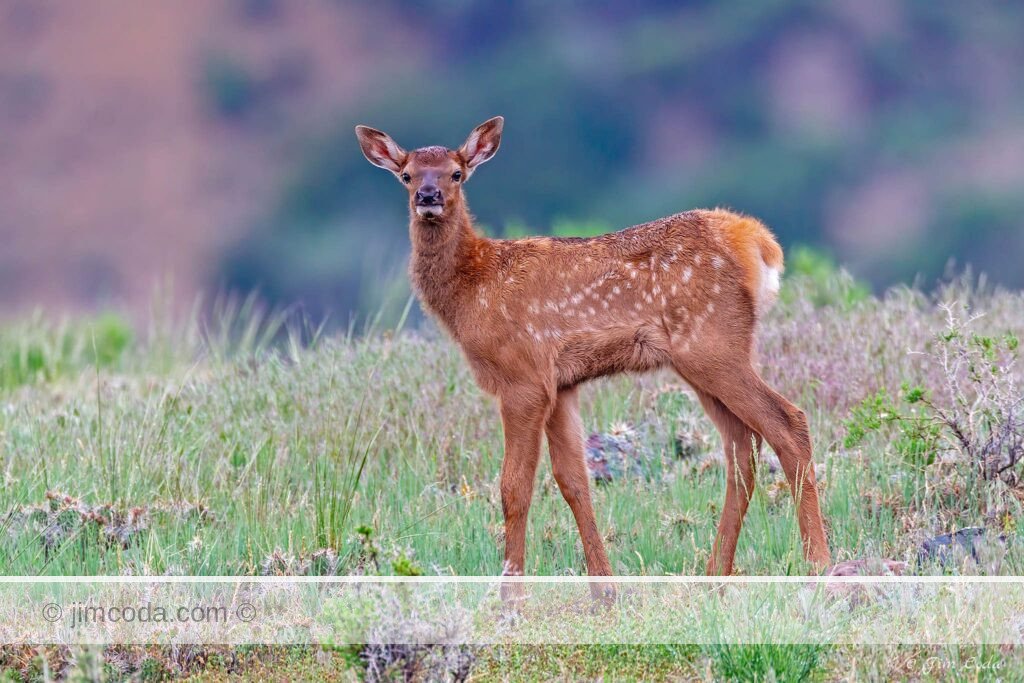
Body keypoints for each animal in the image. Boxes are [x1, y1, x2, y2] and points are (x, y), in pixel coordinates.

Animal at [355, 116, 831, 593]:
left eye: (456, 173)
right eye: (407, 175)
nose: (427, 197)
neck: (472, 288)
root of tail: (758, 242)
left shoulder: (523, 377)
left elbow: (514, 488)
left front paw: (511, 594)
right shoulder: (562, 384)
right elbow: (574, 482)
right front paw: (604, 590)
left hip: (713, 343)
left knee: (787, 423)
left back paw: (819, 565)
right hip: (703, 360)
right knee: (741, 448)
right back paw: (715, 574)